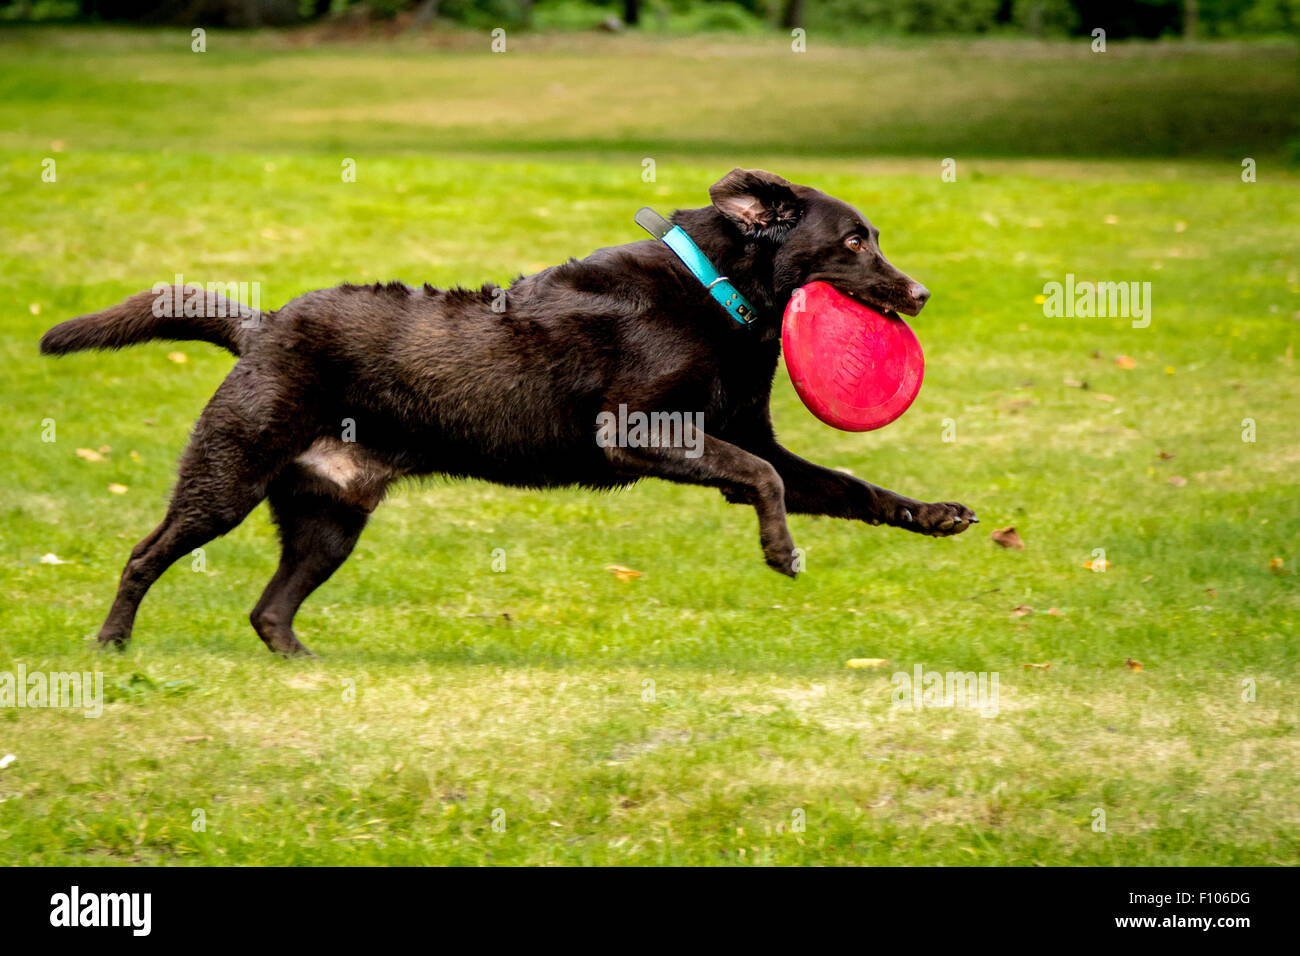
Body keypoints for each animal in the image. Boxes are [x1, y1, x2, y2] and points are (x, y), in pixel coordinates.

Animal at [40, 167, 977, 655]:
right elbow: (759, 479)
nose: (923, 294)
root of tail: (259, 324)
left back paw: (301, 665)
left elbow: (848, 485)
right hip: (228, 476)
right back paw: (111, 644)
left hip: (328, 519)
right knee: (145, 554)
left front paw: (935, 513)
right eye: (854, 240)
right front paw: (780, 549)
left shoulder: (754, 442)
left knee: (269, 609)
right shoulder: (637, 431)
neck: (715, 292)